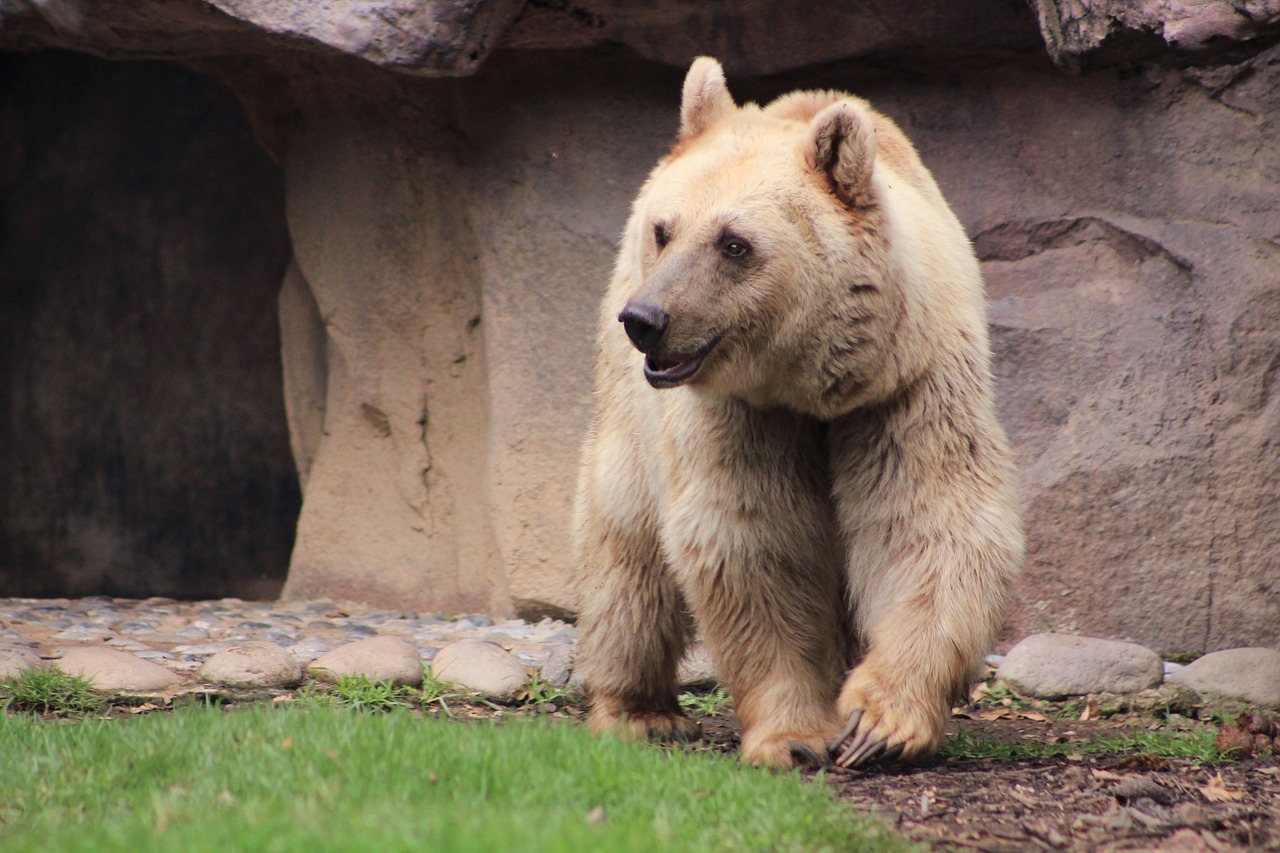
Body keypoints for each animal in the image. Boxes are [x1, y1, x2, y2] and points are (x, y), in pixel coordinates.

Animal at [576, 56, 1024, 768]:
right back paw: (640, 711)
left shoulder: (909, 385)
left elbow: (930, 520)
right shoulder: (737, 412)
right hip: (628, 406)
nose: (646, 320)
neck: (815, 383)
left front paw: (878, 724)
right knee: (627, 545)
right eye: (665, 230)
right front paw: (795, 736)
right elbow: (755, 538)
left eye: (734, 243)